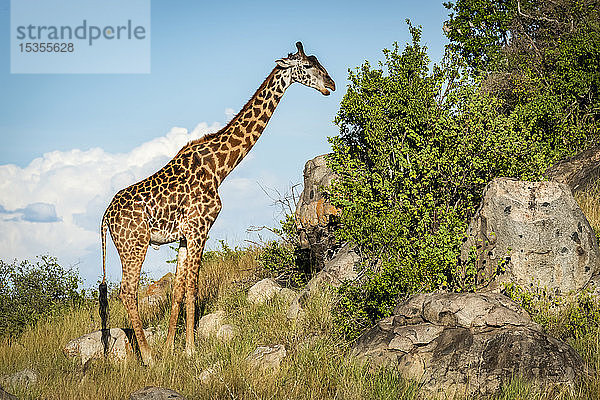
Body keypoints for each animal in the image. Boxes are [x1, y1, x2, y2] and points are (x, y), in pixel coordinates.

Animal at [101, 43, 338, 366]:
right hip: (134, 244)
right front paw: (190, 350)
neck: (219, 167)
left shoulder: (185, 236)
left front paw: (171, 349)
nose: (331, 85)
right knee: (127, 291)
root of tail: (104, 218)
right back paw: (148, 357)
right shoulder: (200, 228)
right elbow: (192, 288)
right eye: (307, 66)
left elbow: (177, 291)